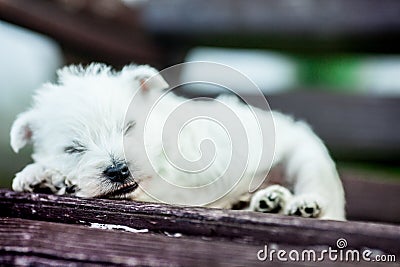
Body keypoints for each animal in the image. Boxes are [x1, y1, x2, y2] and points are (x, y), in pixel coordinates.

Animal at [10, 63, 346, 221]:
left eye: (129, 127)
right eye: (73, 149)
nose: (118, 170)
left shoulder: (178, 187)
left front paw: (57, 180)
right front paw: (40, 175)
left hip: (307, 159)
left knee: (321, 195)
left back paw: (303, 204)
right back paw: (268, 201)